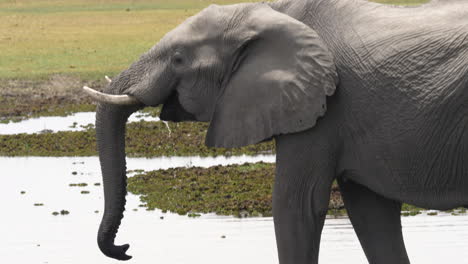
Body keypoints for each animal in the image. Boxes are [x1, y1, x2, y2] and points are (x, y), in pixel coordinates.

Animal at [83, 0, 468, 262]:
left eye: (178, 59)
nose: (125, 248)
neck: (268, 13)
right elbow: (371, 212)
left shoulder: (322, 109)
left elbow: (296, 206)